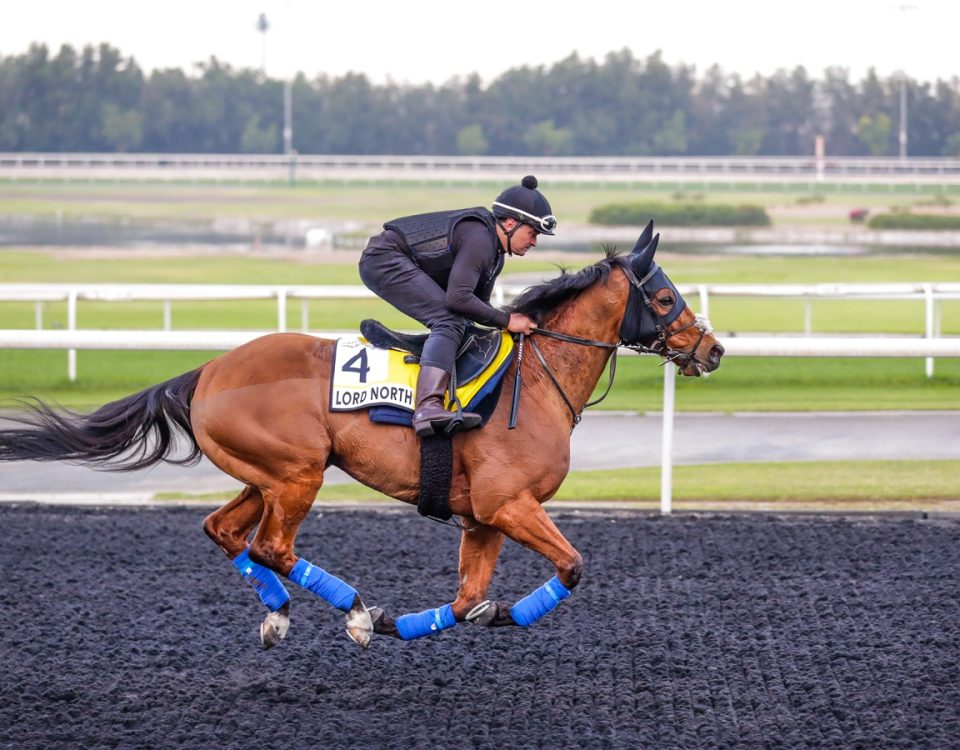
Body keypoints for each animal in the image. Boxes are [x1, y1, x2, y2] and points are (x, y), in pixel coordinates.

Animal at [0, 223, 720, 652]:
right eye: (663, 299)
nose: (711, 350)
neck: (535, 379)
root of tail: (206, 370)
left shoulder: (483, 517)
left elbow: (468, 599)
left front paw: (419, 620)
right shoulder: (508, 504)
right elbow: (570, 566)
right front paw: (401, 618)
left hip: (268, 474)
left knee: (227, 532)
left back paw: (281, 614)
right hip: (298, 473)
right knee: (271, 547)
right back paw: (351, 609)